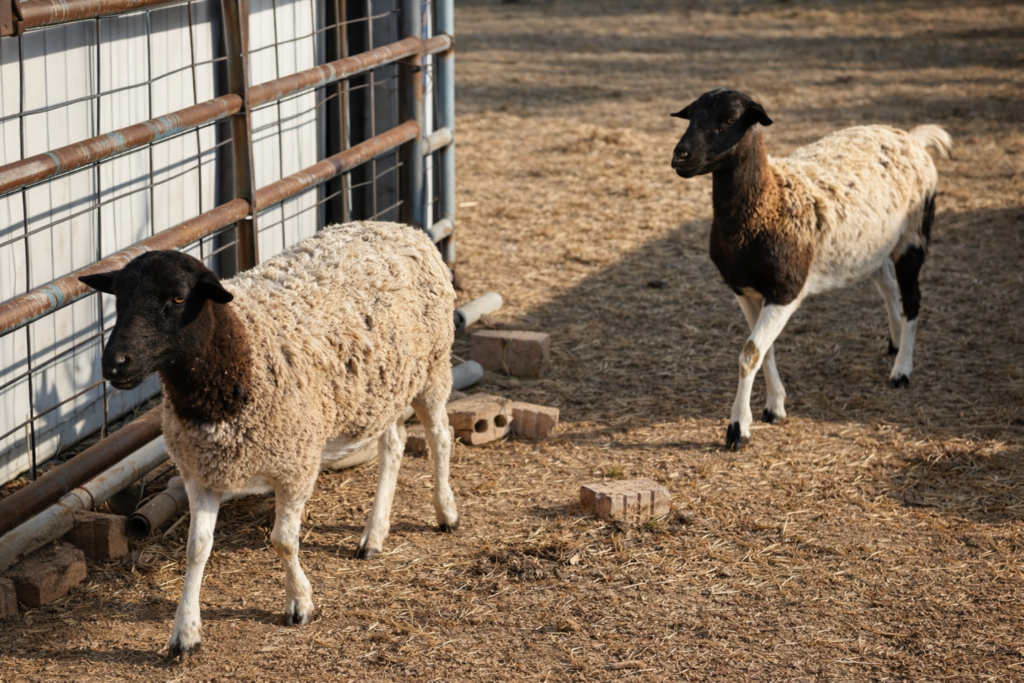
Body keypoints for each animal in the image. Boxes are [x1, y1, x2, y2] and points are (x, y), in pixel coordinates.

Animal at [79, 221, 459, 660]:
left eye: (177, 298)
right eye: (119, 299)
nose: (115, 364)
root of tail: (401, 228)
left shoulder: (295, 466)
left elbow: (283, 541)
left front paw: (299, 603)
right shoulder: (199, 473)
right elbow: (196, 549)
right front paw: (185, 633)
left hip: (433, 368)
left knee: (440, 438)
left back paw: (446, 512)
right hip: (383, 390)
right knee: (394, 444)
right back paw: (374, 535)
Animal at [670, 89, 952, 450]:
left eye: (730, 119)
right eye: (691, 115)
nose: (680, 156)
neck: (769, 201)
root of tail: (912, 138)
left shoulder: (785, 289)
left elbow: (750, 353)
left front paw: (738, 429)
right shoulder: (743, 289)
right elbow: (764, 351)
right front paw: (774, 407)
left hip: (914, 234)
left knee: (912, 299)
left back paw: (902, 370)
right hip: (870, 244)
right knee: (888, 284)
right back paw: (895, 341)